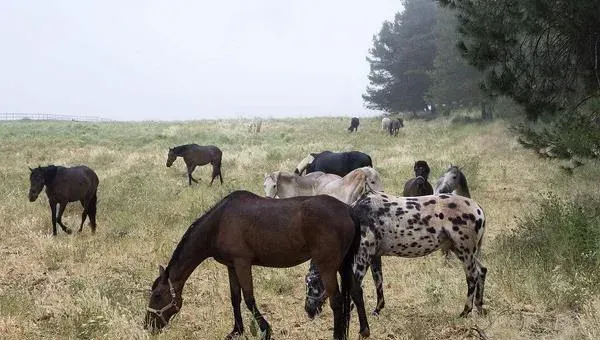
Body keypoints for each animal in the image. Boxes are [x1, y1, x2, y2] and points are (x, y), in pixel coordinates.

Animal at [144, 191, 370, 340]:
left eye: (158, 296)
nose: (148, 325)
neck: (219, 223)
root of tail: (349, 211)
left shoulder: (243, 263)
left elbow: (249, 298)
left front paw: (265, 329)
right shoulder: (231, 266)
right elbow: (235, 298)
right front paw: (236, 330)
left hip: (328, 266)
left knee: (336, 300)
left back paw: (338, 335)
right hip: (344, 263)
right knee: (356, 292)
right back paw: (364, 331)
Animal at [304, 191, 488, 322]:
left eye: (312, 283)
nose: (308, 310)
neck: (358, 215)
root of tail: (478, 208)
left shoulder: (362, 259)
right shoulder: (374, 257)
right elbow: (378, 282)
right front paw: (378, 309)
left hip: (465, 252)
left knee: (473, 277)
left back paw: (465, 311)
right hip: (465, 252)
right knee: (482, 271)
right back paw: (479, 308)